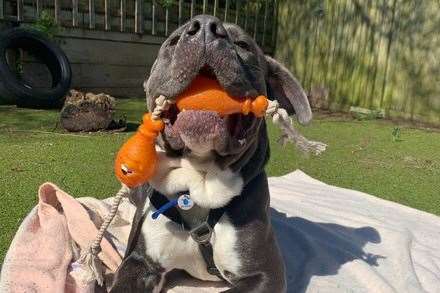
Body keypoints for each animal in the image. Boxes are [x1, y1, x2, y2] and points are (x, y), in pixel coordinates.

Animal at [111, 14, 312, 290]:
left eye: (243, 45)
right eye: (173, 41)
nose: (205, 26)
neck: (200, 181)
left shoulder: (266, 274)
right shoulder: (140, 261)